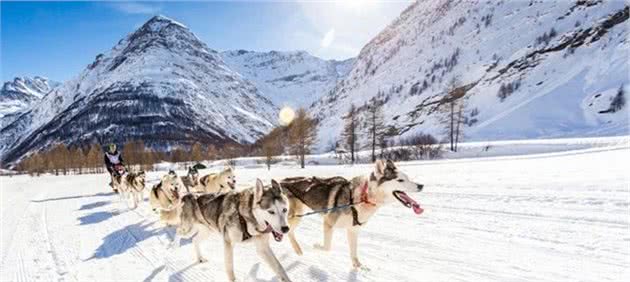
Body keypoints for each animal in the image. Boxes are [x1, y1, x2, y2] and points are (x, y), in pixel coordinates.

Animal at [282, 160, 424, 268]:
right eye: (400, 180)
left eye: (407, 178)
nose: (421, 185)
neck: (363, 197)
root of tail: (282, 181)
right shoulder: (328, 223)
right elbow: (327, 247)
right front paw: (316, 246)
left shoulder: (353, 230)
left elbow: (354, 252)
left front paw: (357, 266)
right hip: (295, 215)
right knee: (288, 231)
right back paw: (296, 249)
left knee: (289, 232)